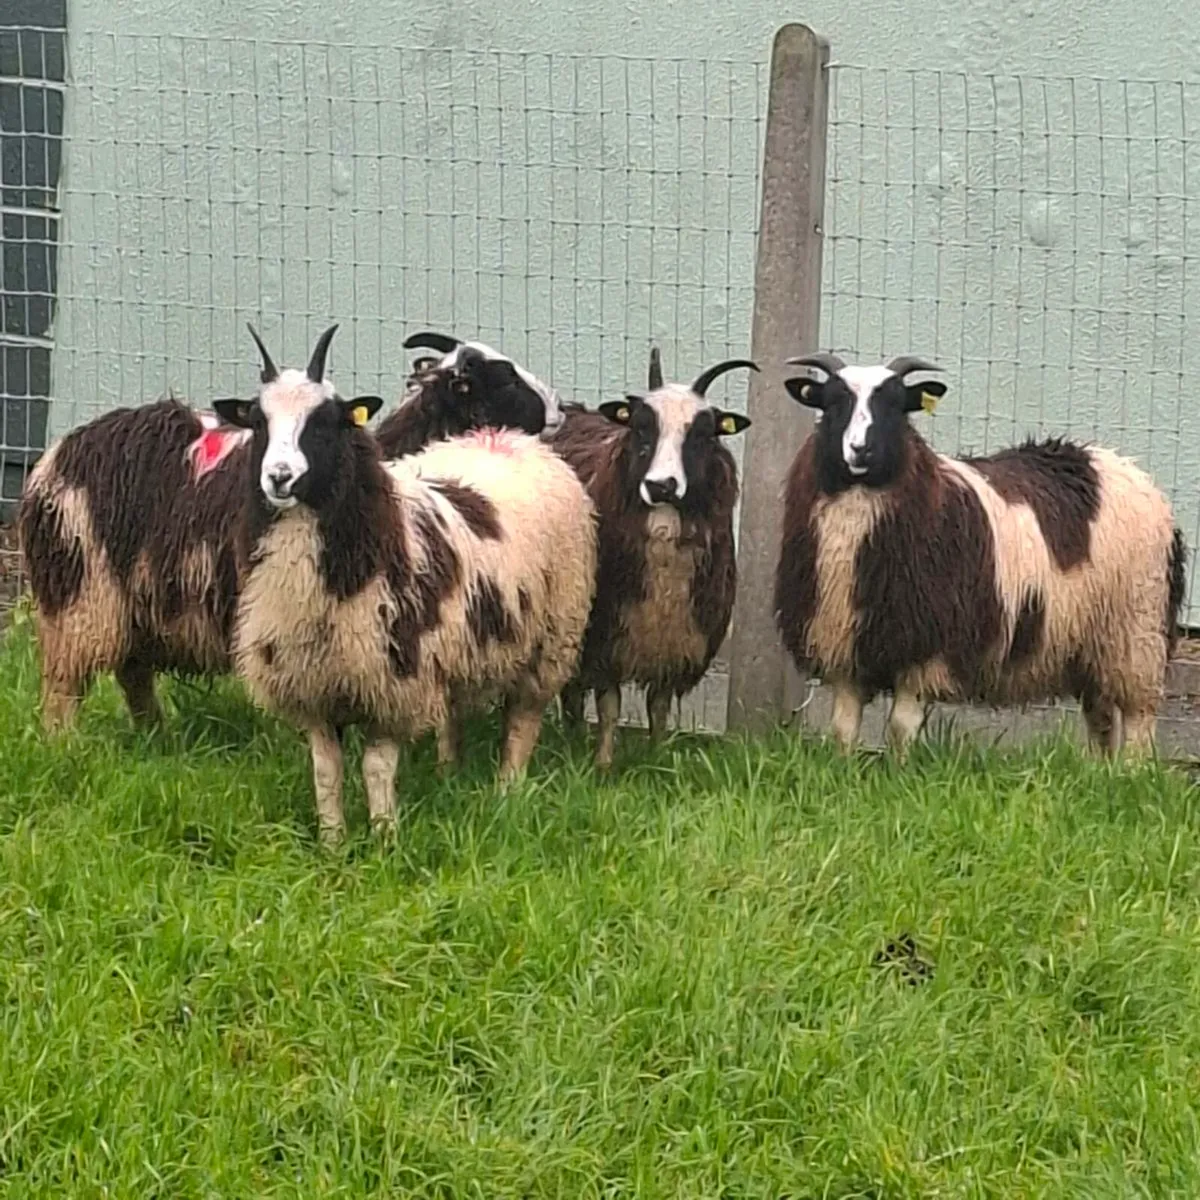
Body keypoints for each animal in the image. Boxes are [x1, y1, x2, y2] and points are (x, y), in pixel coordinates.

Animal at [17, 331, 564, 733]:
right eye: (503, 380)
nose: (559, 410)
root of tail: (55, 455)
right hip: (80, 595)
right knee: (63, 687)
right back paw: (65, 747)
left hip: (131, 604)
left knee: (132, 673)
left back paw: (155, 736)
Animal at [213, 323, 597, 843]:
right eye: (258, 421)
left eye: (325, 421)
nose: (279, 478)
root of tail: (500, 439)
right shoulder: (315, 682)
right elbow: (326, 771)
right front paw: (333, 843)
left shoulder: (393, 678)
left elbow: (376, 767)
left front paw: (384, 838)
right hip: (458, 643)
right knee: (453, 712)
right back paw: (449, 773)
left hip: (552, 635)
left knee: (524, 718)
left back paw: (507, 789)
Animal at [552, 347, 755, 769]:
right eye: (641, 428)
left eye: (702, 434)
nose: (661, 485)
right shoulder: (605, 638)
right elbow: (609, 706)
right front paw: (604, 764)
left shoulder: (676, 642)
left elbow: (658, 708)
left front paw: (658, 757)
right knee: (572, 692)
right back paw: (571, 737)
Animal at [774, 350, 1188, 757]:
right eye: (832, 403)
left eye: (895, 405)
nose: (860, 450)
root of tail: (1114, 462)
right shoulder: (844, 647)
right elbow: (842, 731)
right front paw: (844, 766)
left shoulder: (928, 653)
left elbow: (899, 730)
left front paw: (898, 770)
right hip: (1090, 644)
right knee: (1100, 719)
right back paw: (1100, 770)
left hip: (1137, 631)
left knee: (1138, 719)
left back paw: (1131, 769)